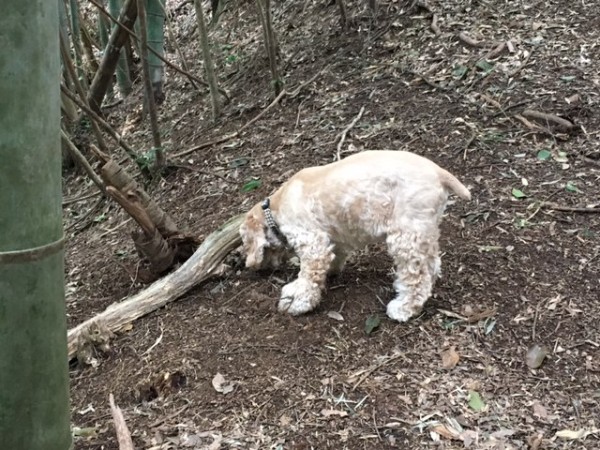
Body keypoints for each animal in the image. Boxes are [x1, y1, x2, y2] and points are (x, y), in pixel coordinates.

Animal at [238, 151, 468, 324]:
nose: (254, 267)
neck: (274, 208)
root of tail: (439, 173)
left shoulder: (312, 242)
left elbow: (308, 277)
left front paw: (297, 300)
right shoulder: (333, 237)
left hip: (405, 235)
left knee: (417, 277)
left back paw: (404, 308)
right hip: (423, 231)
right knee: (431, 265)